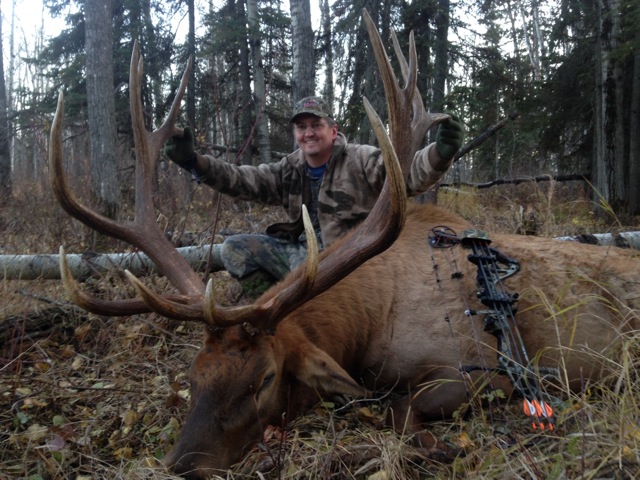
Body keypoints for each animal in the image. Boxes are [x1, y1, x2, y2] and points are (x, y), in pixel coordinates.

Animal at [49, 10, 639, 479]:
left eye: (264, 379)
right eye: (194, 377)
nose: (178, 465)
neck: (372, 321)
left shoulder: (479, 367)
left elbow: (396, 409)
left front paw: (441, 448)